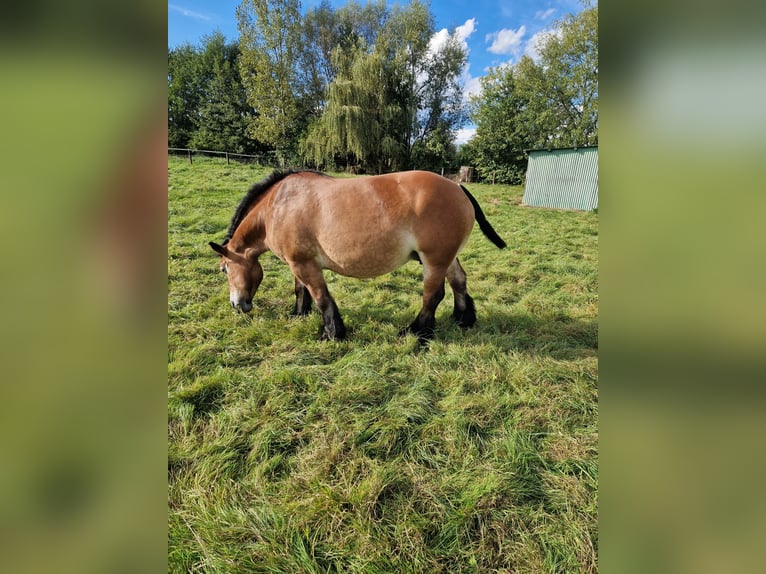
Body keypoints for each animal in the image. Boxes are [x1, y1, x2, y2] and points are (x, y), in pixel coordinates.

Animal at [210, 169, 510, 344]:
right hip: (447, 257)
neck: (278, 204)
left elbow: (321, 298)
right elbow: (301, 290)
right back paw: (462, 318)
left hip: (434, 260)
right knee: (459, 281)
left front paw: (332, 333)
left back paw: (417, 331)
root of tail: (458, 187)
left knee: (433, 295)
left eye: (224, 270)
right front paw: (298, 314)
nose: (237, 304)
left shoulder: (305, 265)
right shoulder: (298, 263)